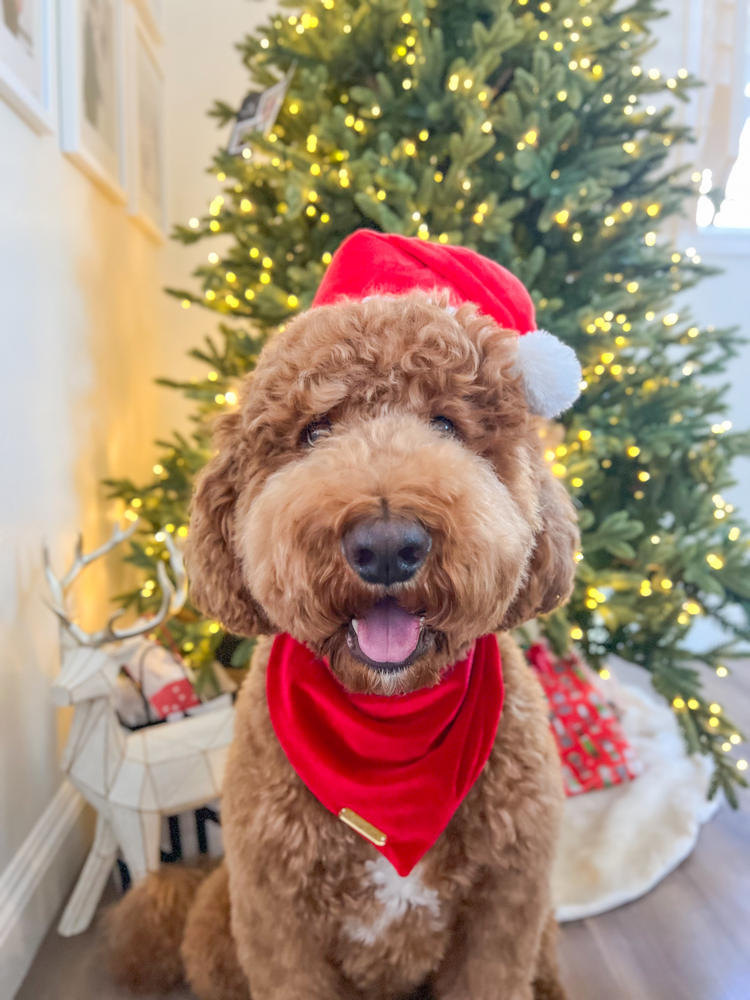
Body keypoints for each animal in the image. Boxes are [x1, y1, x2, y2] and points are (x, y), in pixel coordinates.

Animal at [107, 232, 580, 1000]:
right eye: (313, 431)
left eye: (446, 424)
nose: (387, 546)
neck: (388, 731)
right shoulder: (279, 926)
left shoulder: (505, 912)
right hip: (220, 927)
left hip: (539, 930)